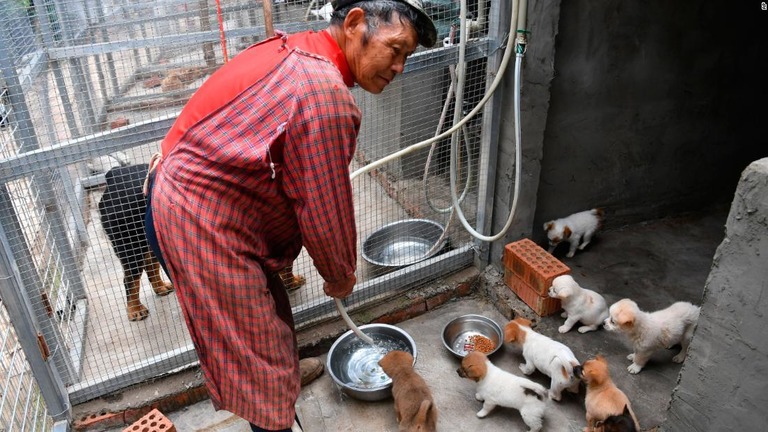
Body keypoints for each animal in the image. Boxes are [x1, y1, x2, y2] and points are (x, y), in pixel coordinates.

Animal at [97, 164, 174, 322]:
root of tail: (114, 173)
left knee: (150, 265)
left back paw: (160, 287)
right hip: (131, 244)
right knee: (130, 279)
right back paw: (135, 309)